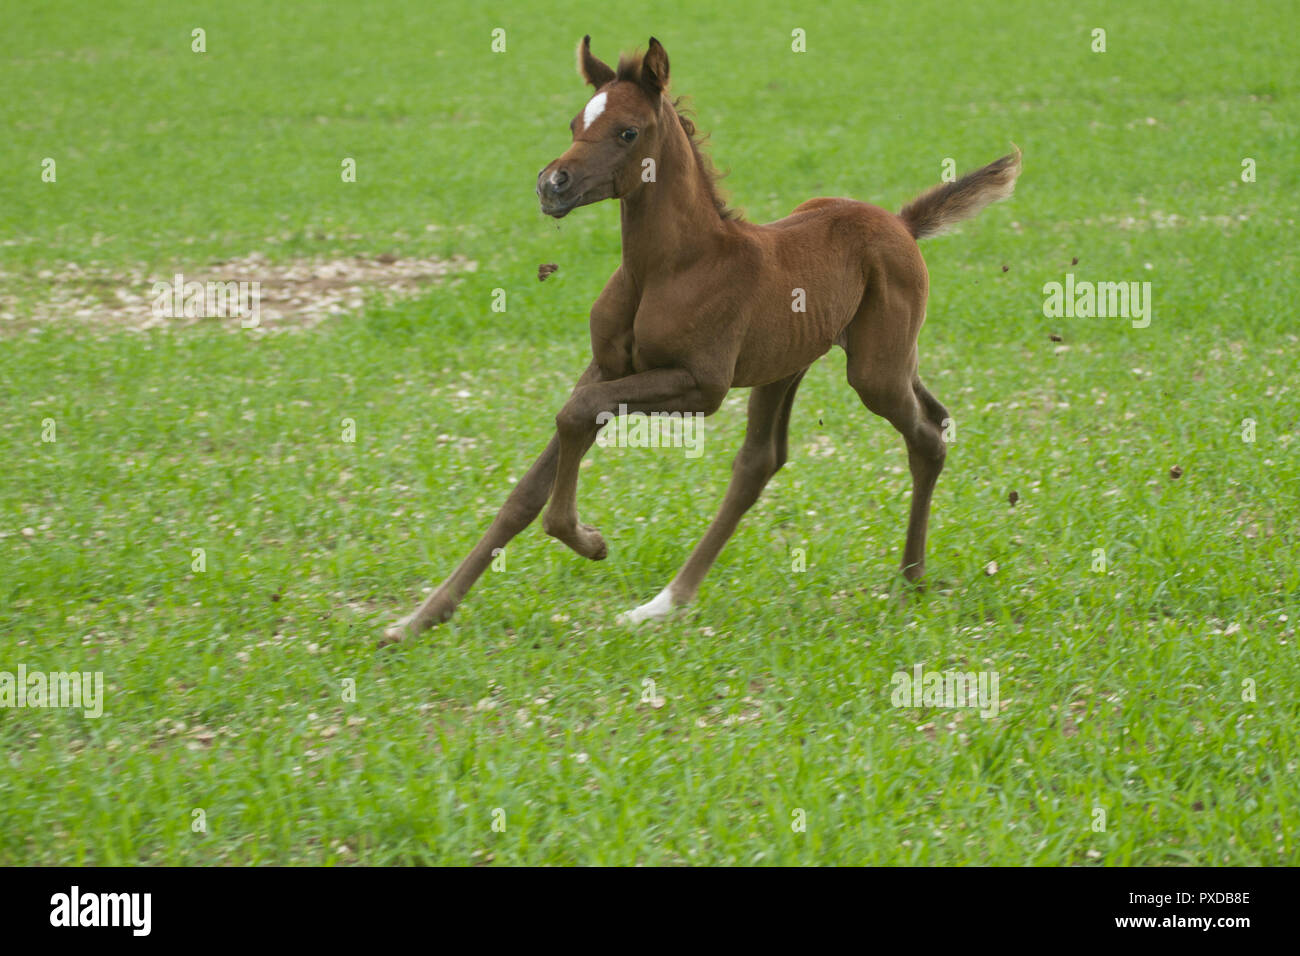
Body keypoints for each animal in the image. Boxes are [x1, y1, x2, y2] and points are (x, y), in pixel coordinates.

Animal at [379, 35, 1019, 642]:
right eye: (575, 123)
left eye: (627, 131)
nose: (551, 185)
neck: (667, 268)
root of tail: (901, 224)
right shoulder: (607, 367)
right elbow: (533, 479)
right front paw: (419, 619)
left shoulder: (700, 387)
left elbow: (577, 413)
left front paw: (589, 540)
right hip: (795, 363)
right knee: (771, 459)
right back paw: (666, 603)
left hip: (873, 370)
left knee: (925, 436)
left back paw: (908, 580)